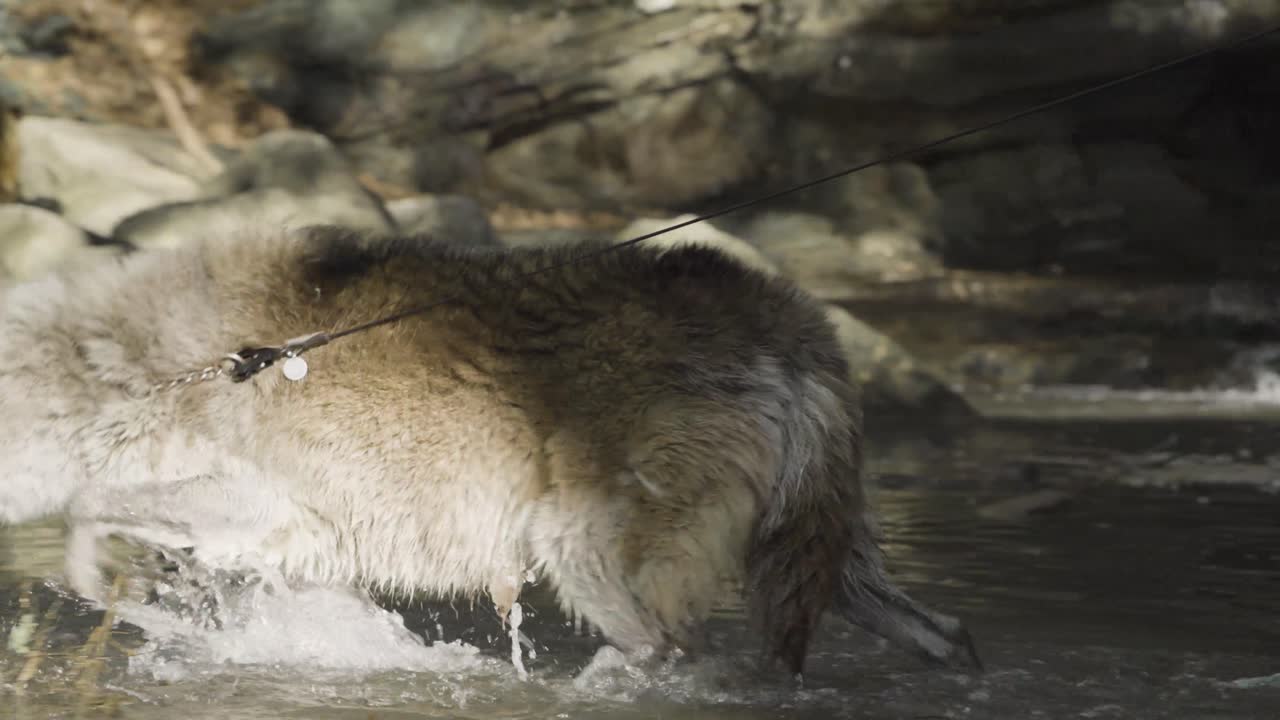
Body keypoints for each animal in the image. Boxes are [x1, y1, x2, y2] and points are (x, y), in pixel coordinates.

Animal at [0, 224, 979, 676]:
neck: (133, 368)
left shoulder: (270, 506)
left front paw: (116, 594)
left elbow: (86, 513)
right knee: (949, 634)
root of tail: (787, 321)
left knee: (677, 662)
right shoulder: (303, 549)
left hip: (582, 557)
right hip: (828, 565)